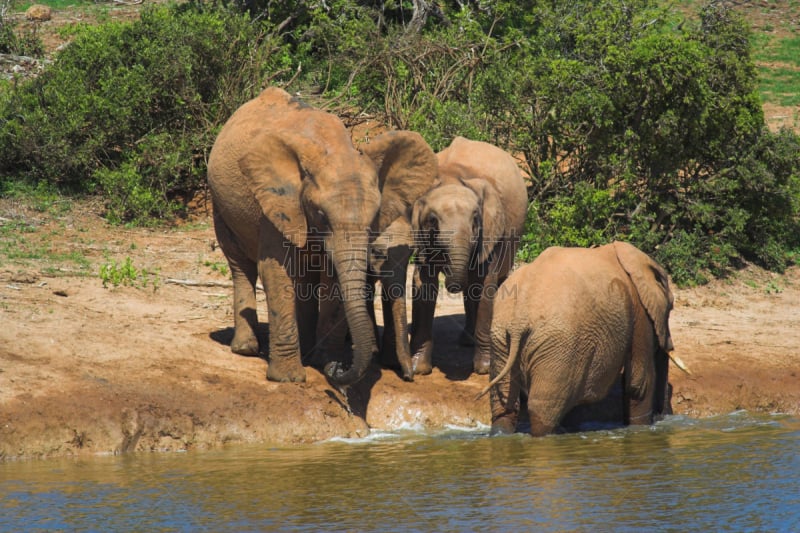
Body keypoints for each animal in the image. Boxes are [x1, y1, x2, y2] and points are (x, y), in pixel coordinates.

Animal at [203, 88, 434, 386]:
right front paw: (288, 379)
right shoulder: (278, 205)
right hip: (220, 203)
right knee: (240, 265)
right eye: (322, 214)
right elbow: (277, 271)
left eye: (374, 217)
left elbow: (333, 278)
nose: (338, 369)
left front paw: (325, 362)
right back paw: (246, 349)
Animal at [410, 138, 528, 378]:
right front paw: (419, 370)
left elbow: (484, 287)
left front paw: (483, 369)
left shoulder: (490, 232)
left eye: (475, 219)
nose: (451, 284)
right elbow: (424, 285)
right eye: (432, 220)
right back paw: (466, 340)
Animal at [478, 241, 680, 436]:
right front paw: (641, 430)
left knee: (505, 408)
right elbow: (638, 383)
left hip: (502, 337)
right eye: (671, 308)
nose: (664, 416)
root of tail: (519, 318)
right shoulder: (639, 313)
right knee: (542, 410)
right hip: (558, 344)